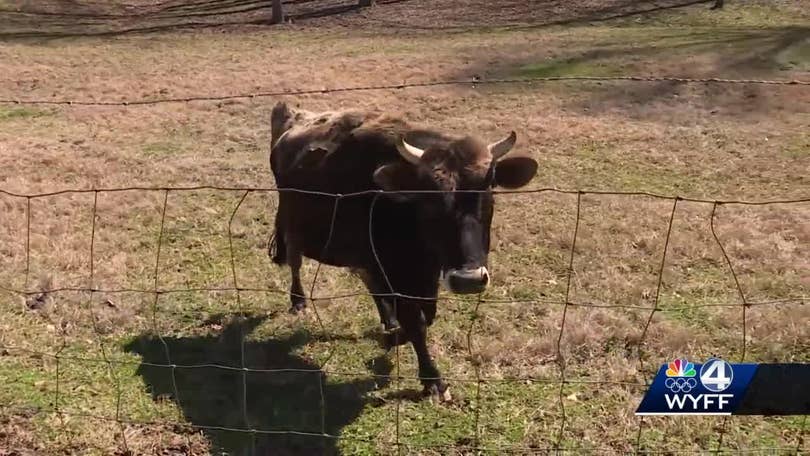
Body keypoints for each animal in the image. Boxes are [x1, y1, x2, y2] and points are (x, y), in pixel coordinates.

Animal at [268, 101, 540, 400]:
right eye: (428, 196)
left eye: (489, 187)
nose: (468, 280)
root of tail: (291, 115)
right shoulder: (392, 267)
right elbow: (415, 322)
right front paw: (432, 378)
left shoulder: (422, 272)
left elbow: (425, 316)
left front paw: (395, 334)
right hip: (292, 225)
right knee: (295, 262)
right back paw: (299, 301)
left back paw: (388, 322)